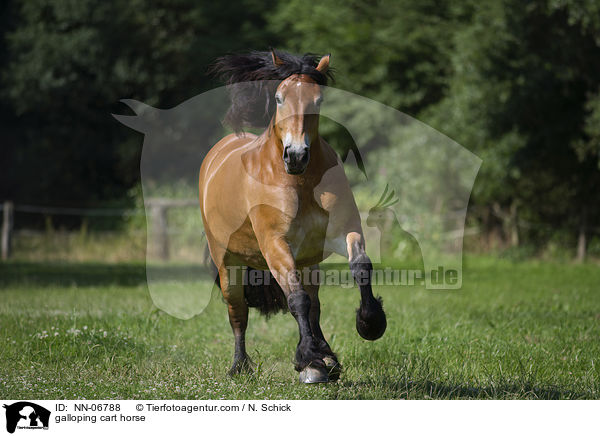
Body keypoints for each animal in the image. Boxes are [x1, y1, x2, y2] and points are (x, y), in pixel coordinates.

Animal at [199, 49, 386, 382]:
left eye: (318, 100)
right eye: (279, 98)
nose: (296, 155)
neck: (300, 182)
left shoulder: (343, 231)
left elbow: (361, 267)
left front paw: (370, 323)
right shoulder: (275, 246)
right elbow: (295, 300)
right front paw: (308, 358)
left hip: (308, 262)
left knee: (314, 305)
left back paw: (327, 360)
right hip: (228, 263)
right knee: (239, 312)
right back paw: (240, 366)